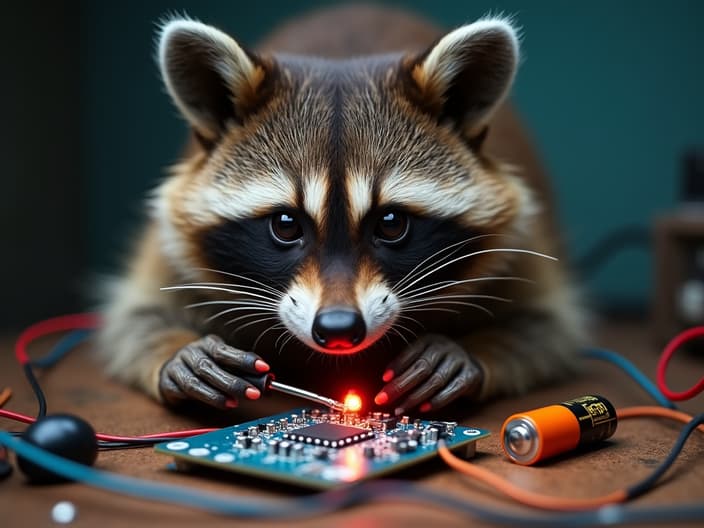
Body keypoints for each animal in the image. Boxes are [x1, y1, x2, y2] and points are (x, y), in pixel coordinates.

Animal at [97, 6, 584, 414]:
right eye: (285, 224)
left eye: (391, 223)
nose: (336, 329)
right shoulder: (171, 236)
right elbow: (132, 317)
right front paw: (179, 351)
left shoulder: (517, 240)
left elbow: (548, 327)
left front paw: (468, 352)